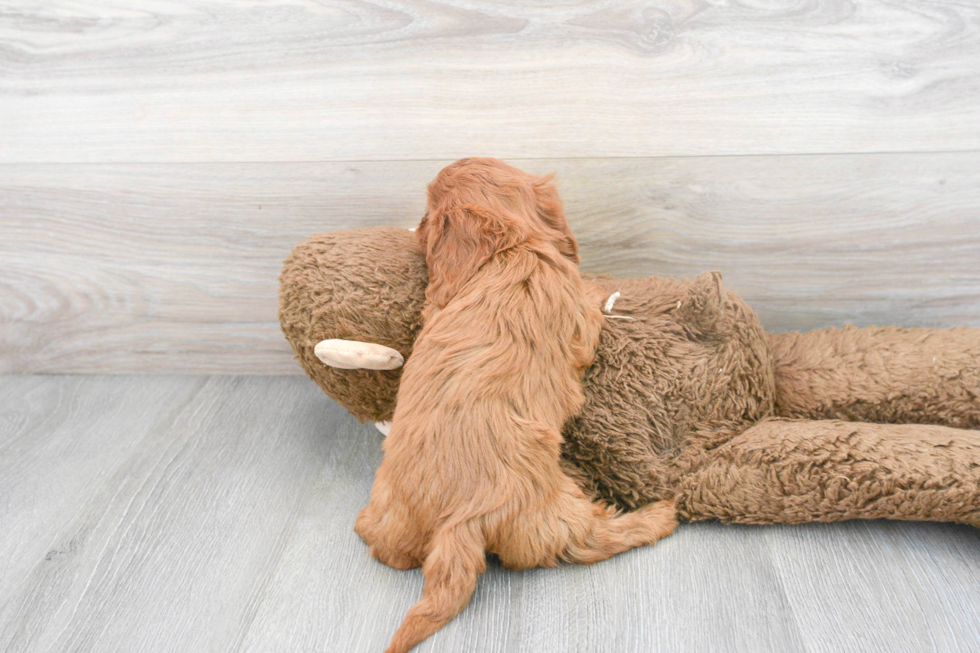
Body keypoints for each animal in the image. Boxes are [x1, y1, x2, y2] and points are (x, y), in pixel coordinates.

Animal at [356, 158, 676, 652]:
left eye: (429, 213)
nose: (417, 228)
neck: (512, 250)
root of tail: (457, 522)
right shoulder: (580, 321)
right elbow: (590, 305)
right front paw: (599, 286)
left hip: (394, 511)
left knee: (390, 551)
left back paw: (363, 524)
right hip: (554, 514)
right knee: (590, 541)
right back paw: (657, 516)